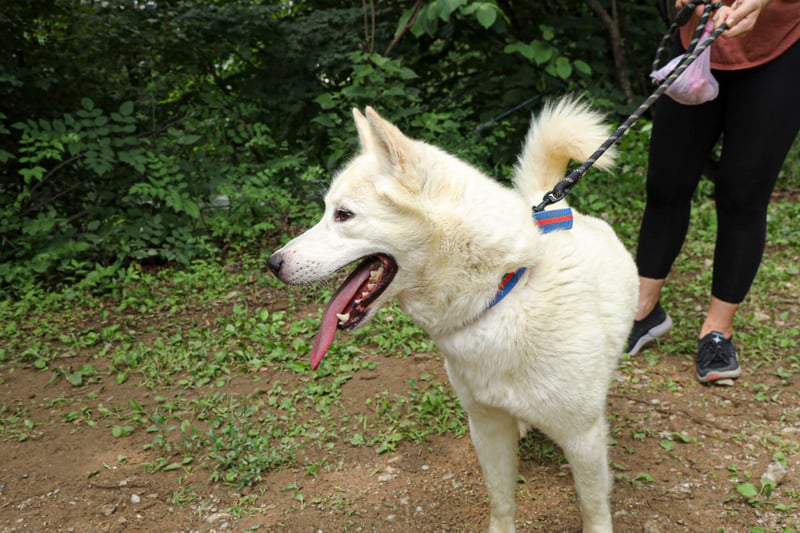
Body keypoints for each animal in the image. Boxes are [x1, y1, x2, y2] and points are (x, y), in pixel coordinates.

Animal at [268, 97, 639, 532]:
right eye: (328, 210)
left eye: (343, 215)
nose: (273, 263)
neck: (503, 291)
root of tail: (558, 203)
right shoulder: (486, 427)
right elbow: (501, 501)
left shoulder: (583, 439)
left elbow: (593, 507)